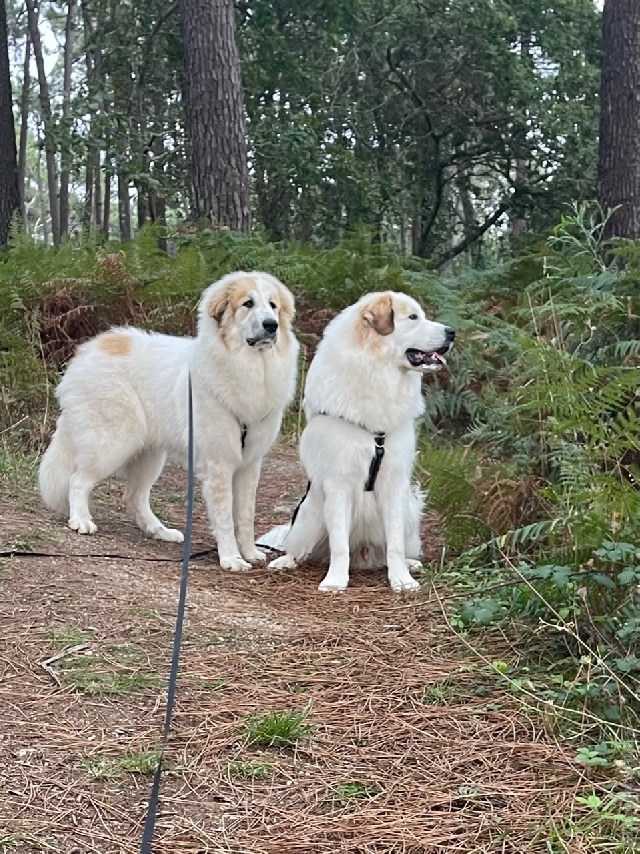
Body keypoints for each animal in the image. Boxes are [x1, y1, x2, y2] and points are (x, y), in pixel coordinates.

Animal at [40, 270, 300, 572]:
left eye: (273, 305)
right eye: (248, 303)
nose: (271, 325)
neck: (250, 366)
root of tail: (89, 350)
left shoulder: (249, 464)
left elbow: (245, 516)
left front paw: (249, 553)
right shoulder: (219, 465)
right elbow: (225, 517)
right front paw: (231, 558)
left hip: (149, 455)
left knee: (135, 497)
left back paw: (160, 531)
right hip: (111, 443)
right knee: (79, 480)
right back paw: (81, 521)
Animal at [262, 290, 456, 592]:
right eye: (413, 317)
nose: (452, 332)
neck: (378, 373)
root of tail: (364, 554)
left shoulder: (394, 483)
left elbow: (395, 545)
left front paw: (402, 581)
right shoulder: (338, 483)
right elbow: (339, 544)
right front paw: (335, 581)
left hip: (409, 510)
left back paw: (410, 564)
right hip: (310, 515)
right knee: (298, 547)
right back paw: (286, 561)